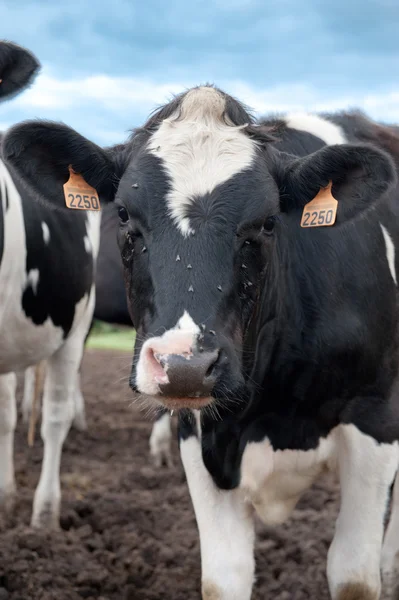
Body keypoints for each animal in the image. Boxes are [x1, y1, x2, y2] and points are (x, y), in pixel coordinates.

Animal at [4, 85, 399, 600]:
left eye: (268, 222)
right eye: (124, 215)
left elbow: (354, 576)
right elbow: (224, 577)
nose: (185, 365)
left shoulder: (375, 421)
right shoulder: (199, 435)